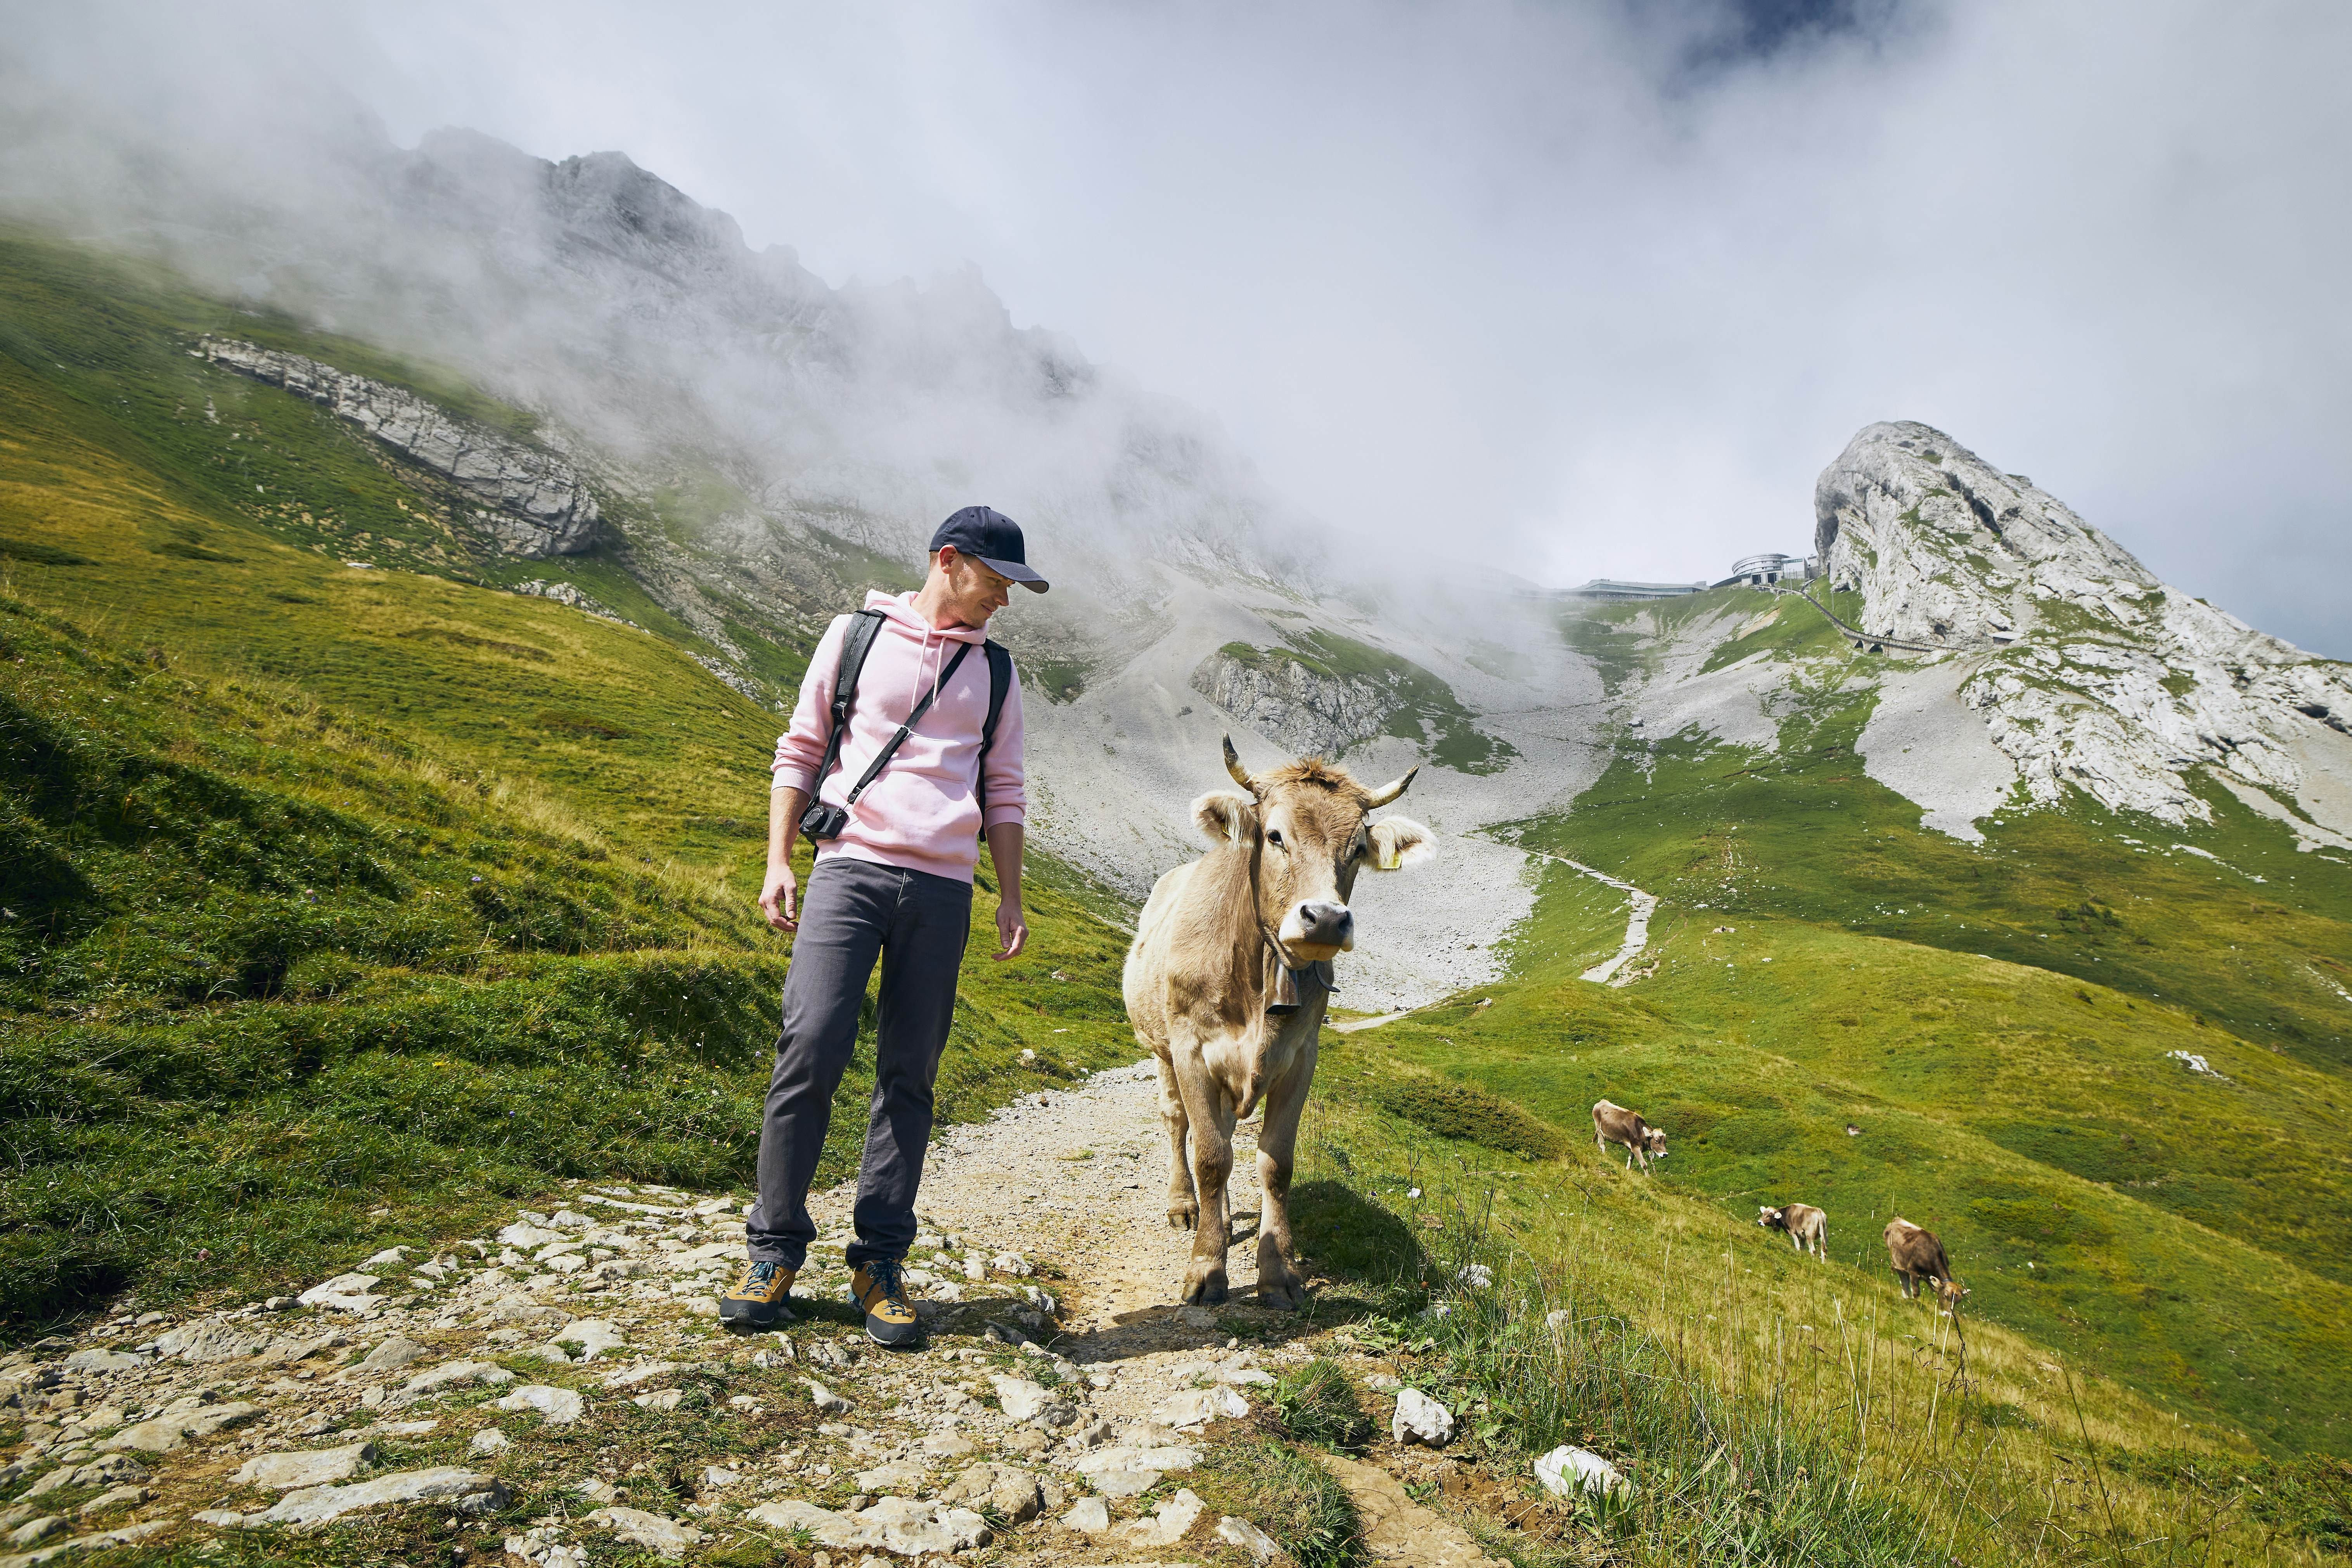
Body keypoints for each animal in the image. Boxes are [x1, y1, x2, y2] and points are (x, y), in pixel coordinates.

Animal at [1124, 742, 1430, 1307]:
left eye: (1358, 848)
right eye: (1274, 836)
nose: (1326, 918)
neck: (1256, 971)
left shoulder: (1301, 1057)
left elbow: (1275, 1164)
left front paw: (1278, 1272)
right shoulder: (1192, 1050)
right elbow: (1210, 1158)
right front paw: (1206, 1269)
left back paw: (1221, 1219)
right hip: (1159, 1048)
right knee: (1179, 1123)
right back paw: (1185, 1206)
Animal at [1590, 1105, 1665, 1175]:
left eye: (1665, 1142)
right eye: (1657, 1141)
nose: (1665, 1154)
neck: (1641, 1132)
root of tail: (1601, 1102)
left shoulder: (1633, 1147)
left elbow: (1630, 1159)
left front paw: (1628, 1170)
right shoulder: (1636, 1148)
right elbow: (1644, 1164)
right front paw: (1648, 1178)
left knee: (1599, 1143)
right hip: (1599, 1128)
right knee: (1603, 1145)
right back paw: (1604, 1156)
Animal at [1759, 1203, 1825, 1260]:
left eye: (1770, 1215)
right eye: (1763, 1214)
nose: (1759, 1222)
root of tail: (1818, 1210)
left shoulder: (1793, 1232)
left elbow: (1798, 1246)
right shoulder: (1803, 1236)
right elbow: (1802, 1248)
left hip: (1809, 1235)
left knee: (1813, 1250)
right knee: (1824, 1252)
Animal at [1891, 1213, 1966, 1316]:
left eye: (1958, 1301)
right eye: (1945, 1295)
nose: (1947, 1315)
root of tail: (1897, 1219)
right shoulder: (1913, 1271)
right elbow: (1916, 1292)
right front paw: (1914, 1305)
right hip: (1896, 1262)